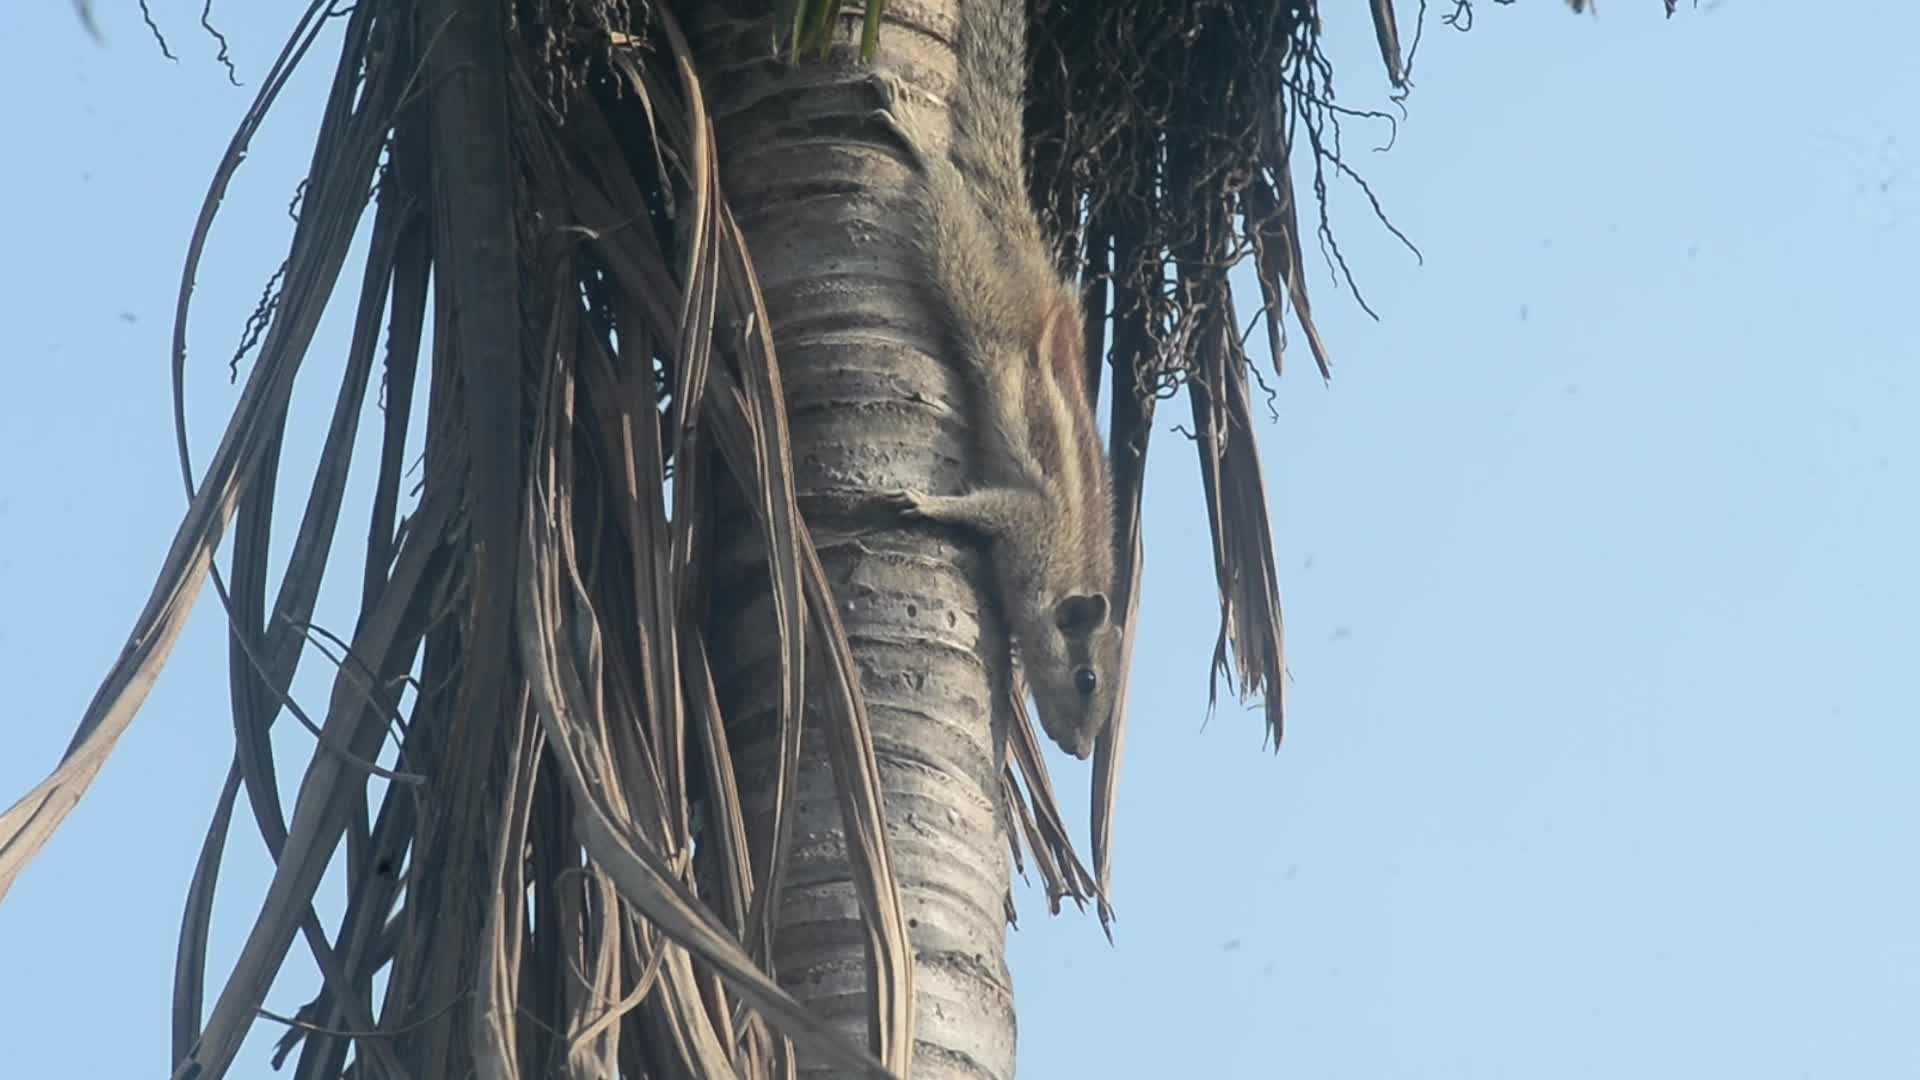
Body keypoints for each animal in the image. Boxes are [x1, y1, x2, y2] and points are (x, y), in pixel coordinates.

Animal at [864, 1, 1120, 760]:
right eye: (1088, 680)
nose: (1081, 751)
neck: (1066, 573)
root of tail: (1033, 266)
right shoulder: (1029, 526)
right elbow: (985, 509)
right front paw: (924, 504)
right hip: (978, 288)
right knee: (947, 203)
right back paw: (916, 141)